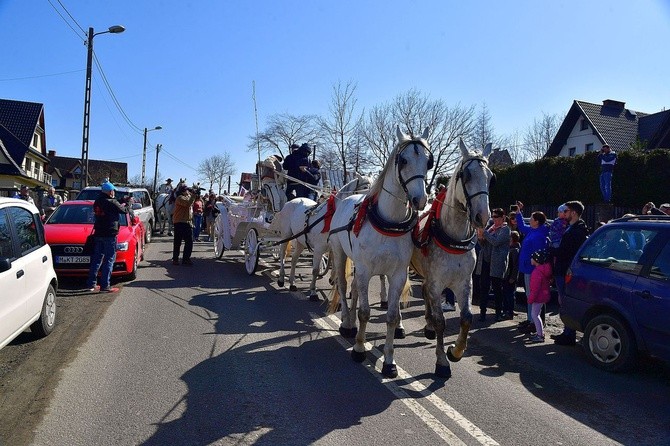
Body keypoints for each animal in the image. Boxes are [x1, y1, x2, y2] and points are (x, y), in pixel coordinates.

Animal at [330, 127, 434, 378]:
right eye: (403, 160)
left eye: (429, 162)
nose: (420, 200)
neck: (389, 221)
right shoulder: (365, 269)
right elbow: (365, 313)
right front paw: (359, 348)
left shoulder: (397, 273)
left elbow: (392, 316)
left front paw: (389, 361)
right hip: (340, 253)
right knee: (344, 286)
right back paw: (346, 322)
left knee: (354, 288)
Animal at [412, 139, 496, 376]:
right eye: (465, 175)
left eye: (491, 177)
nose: (483, 217)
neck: (452, 236)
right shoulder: (437, 282)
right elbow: (441, 321)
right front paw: (442, 361)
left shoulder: (464, 282)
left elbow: (466, 318)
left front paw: (456, 351)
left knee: (424, 292)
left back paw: (428, 326)